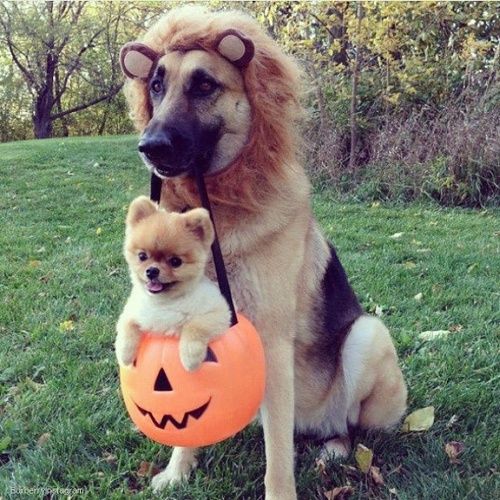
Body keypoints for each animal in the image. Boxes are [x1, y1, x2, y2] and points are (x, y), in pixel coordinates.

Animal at [115, 195, 230, 372]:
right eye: (142, 256)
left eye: (175, 262)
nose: (152, 271)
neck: (164, 303)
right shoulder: (132, 311)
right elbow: (126, 326)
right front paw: (124, 354)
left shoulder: (219, 313)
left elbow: (195, 326)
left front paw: (190, 357)